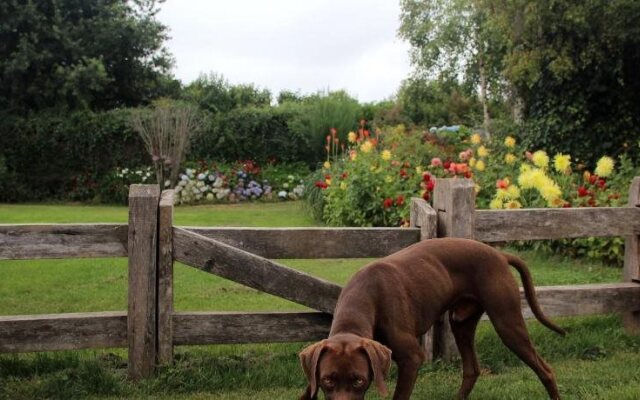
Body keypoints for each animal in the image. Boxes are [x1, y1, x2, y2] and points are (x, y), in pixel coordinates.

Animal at [298, 236, 564, 398]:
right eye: (327, 380)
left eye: (359, 381)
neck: (364, 297)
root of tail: (499, 255)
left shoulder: (412, 358)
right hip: (461, 322)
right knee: (472, 369)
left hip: (507, 323)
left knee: (546, 370)